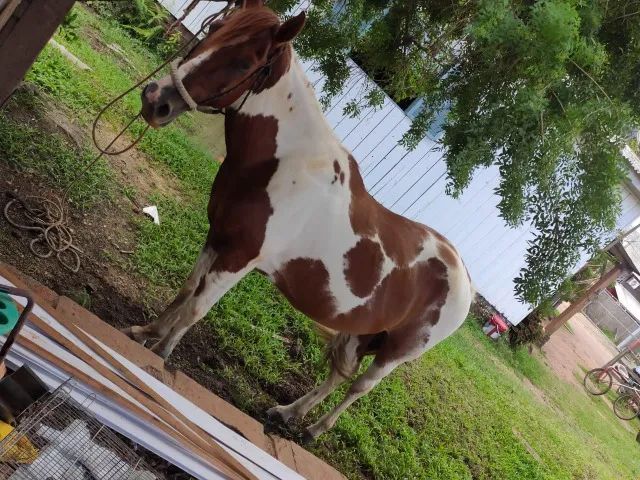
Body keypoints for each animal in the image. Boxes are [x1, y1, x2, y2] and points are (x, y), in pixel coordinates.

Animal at [125, 1, 474, 440]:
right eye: (216, 26)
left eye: (245, 61)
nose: (156, 101)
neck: (280, 164)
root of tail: (463, 276)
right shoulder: (218, 237)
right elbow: (186, 291)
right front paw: (146, 333)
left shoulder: (240, 258)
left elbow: (196, 309)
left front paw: (160, 353)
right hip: (364, 330)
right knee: (338, 376)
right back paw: (288, 413)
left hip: (395, 352)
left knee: (358, 387)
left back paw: (313, 430)